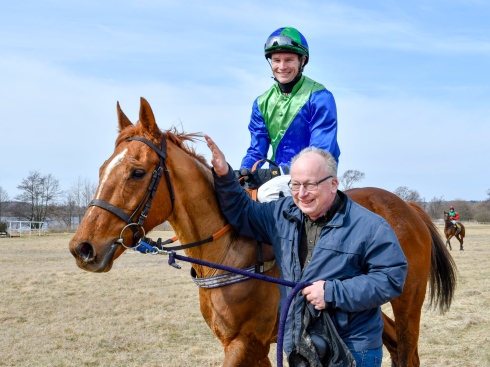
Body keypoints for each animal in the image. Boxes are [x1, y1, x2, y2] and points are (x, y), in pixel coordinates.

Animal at [70, 98, 460, 367]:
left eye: (137, 172)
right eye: (104, 169)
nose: (82, 247)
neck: (229, 247)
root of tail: (408, 207)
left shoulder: (247, 342)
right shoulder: (246, 345)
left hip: (407, 303)